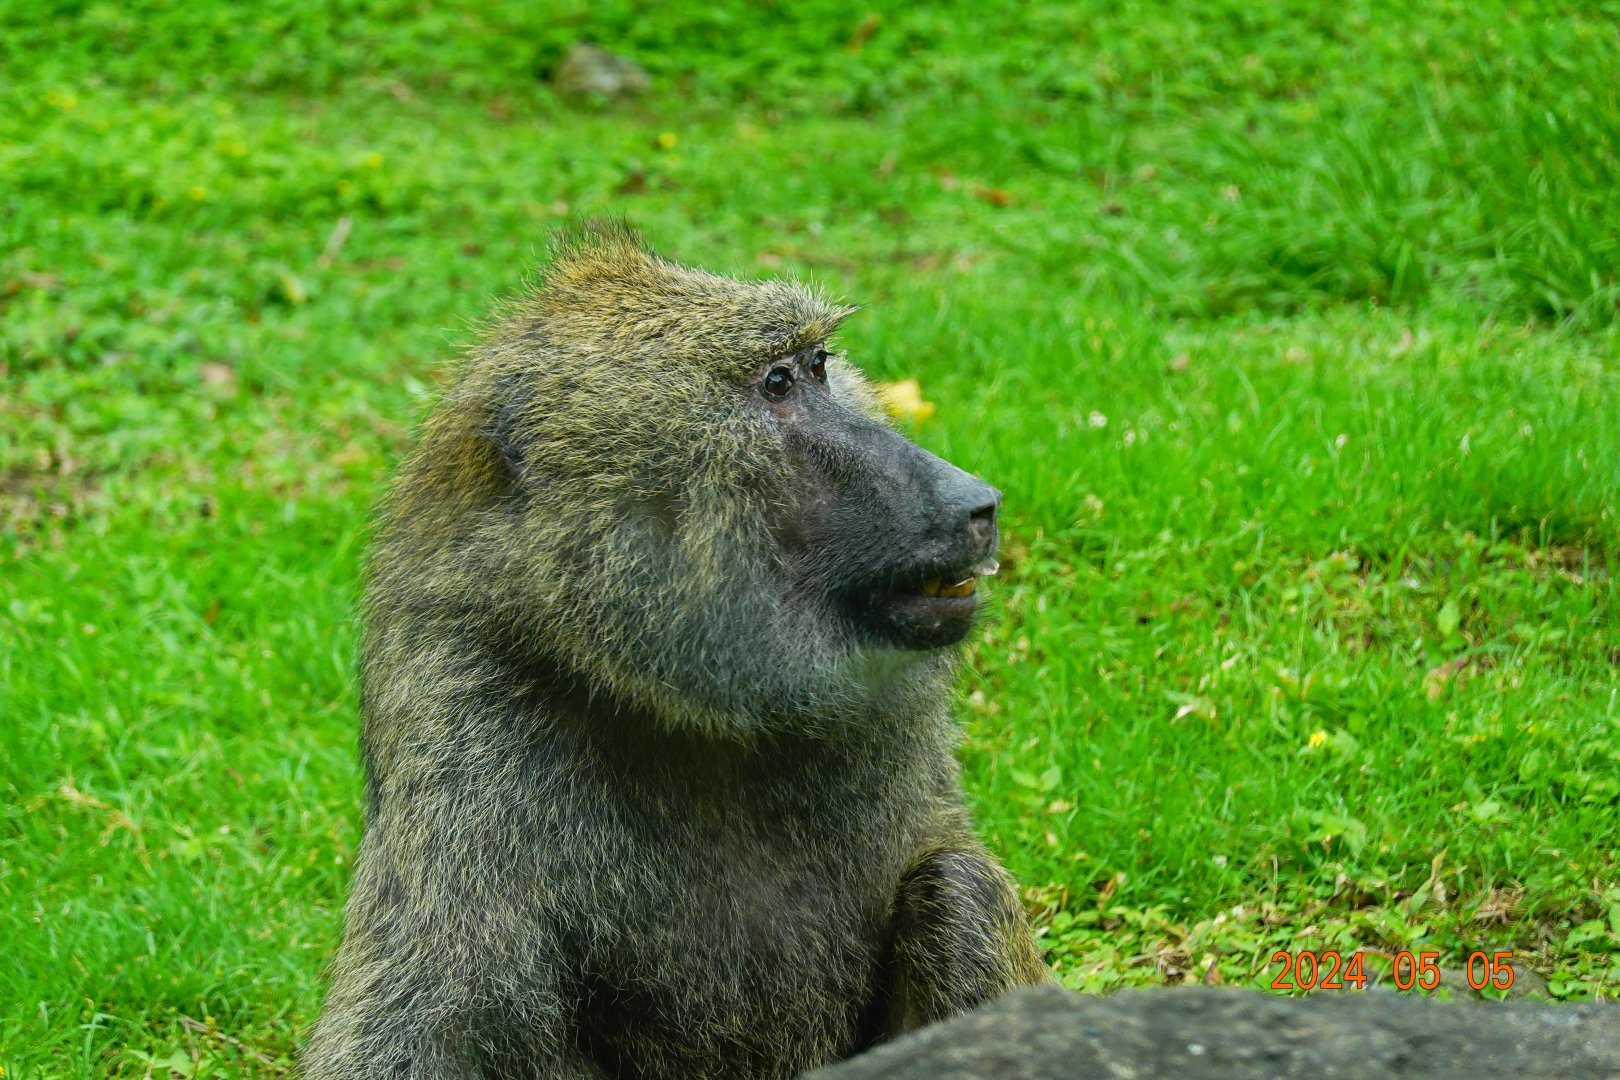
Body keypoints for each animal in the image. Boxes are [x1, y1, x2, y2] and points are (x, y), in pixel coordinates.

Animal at [301, 222, 1050, 1080]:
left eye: (819, 368)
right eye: (776, 383)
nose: (975, 504)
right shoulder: (464, 718)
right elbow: (424, 1022)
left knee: (960, 894)